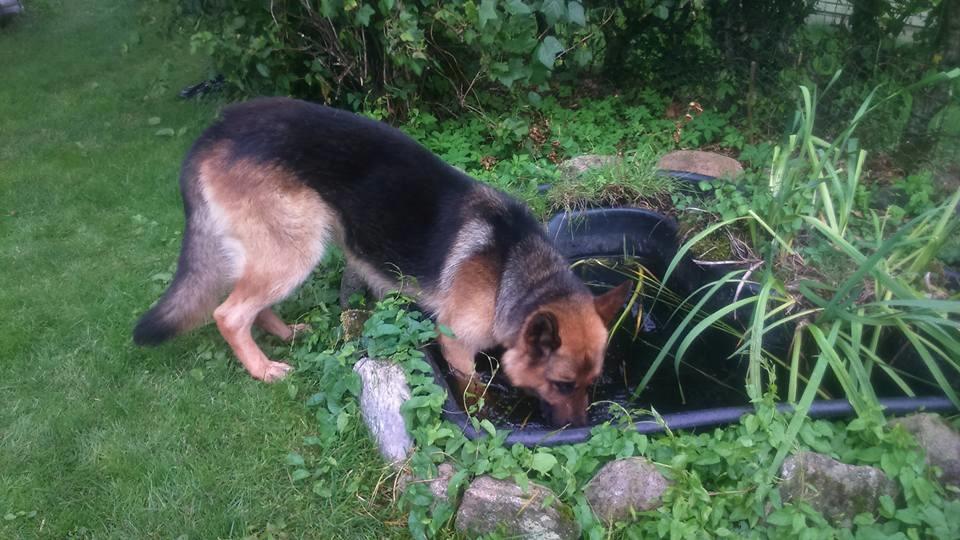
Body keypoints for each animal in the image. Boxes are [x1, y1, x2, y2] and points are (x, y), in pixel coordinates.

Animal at [135, 97, 632, 426]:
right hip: (296, 251)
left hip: (281, 254)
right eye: (562, 384)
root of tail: (215, 130)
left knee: (253, 304)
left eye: (591, 383)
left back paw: (284, 334)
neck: (511, 269)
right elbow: (472, 388)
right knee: (230, 313)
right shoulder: (455, 346)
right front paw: (484, 413)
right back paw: (263, 369)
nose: (581, 428)